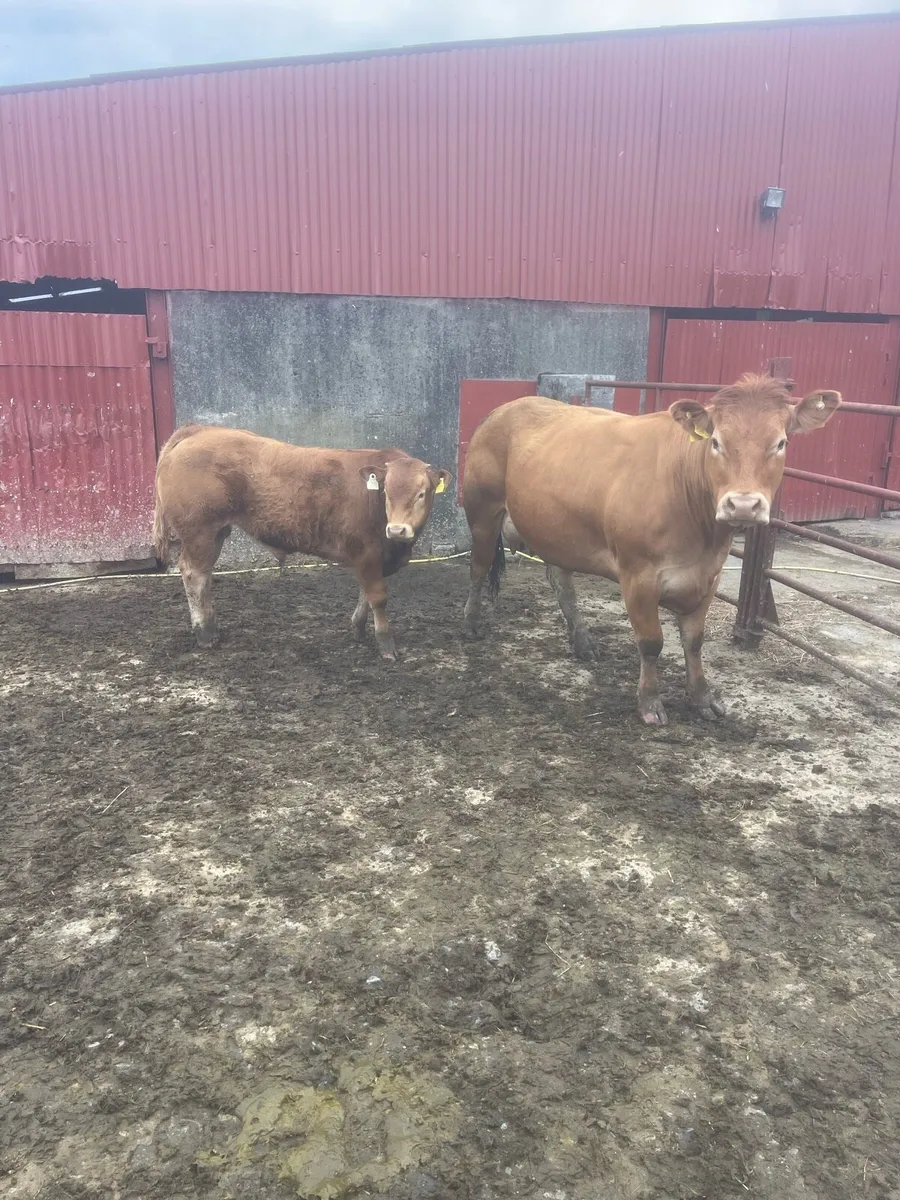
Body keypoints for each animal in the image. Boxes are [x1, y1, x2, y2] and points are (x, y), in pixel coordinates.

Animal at [153, 425, 451, 658]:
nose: (397, 529)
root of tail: (200, 430)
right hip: (199, 531)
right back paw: (204, 633)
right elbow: (377, 596)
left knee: (204, 575)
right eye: (386, 492)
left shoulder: (375, 558)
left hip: (216, 532)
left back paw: (212, 628)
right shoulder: (366, 553)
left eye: (422, 493)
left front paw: (358, 628)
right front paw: (386, 645)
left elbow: (364, 595)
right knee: (194, 574)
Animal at [462, 375, 840, 725]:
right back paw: (470, 624)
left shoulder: (709, 578)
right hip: (482, 512)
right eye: (716, 442)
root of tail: (505, 408)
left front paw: (703, 698)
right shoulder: (637, 575)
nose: (743, 505)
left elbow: (695, 641)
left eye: (781, 442)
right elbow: (651, 642)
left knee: (561, 582)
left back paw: (583, 642)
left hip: (556, 530)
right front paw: (650, 703)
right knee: (478, 568)